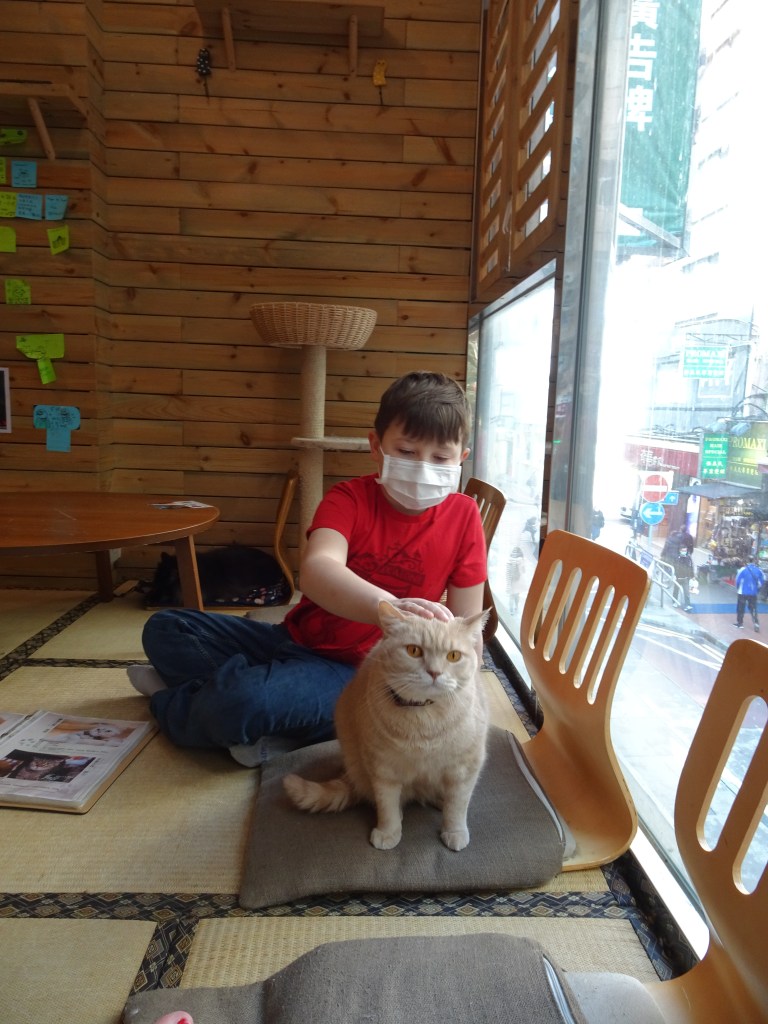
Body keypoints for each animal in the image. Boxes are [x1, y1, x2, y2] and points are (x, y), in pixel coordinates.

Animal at [283, 601, 489, 852]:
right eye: (414, 651)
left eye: (453, 656)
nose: (435, 672)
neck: (423, 718)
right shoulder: (382, 769)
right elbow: (386, 805)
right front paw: (388, 831)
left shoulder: (466, 769)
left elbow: (457, 806)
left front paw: (454, 831)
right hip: (361, 766)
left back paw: (440, 800)